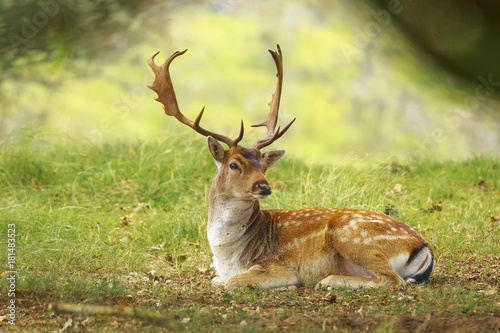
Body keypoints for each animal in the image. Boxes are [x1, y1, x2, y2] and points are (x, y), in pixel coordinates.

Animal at [146, 45, 436, 290]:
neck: (228, 255)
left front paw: (286, 286)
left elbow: (233, 283)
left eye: (264, 166)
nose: (264, 186)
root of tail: (423, 248)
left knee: (392, 280)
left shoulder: (277, 265)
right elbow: (218, 280)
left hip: (353, 237)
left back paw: (327, 280)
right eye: (234, 164)